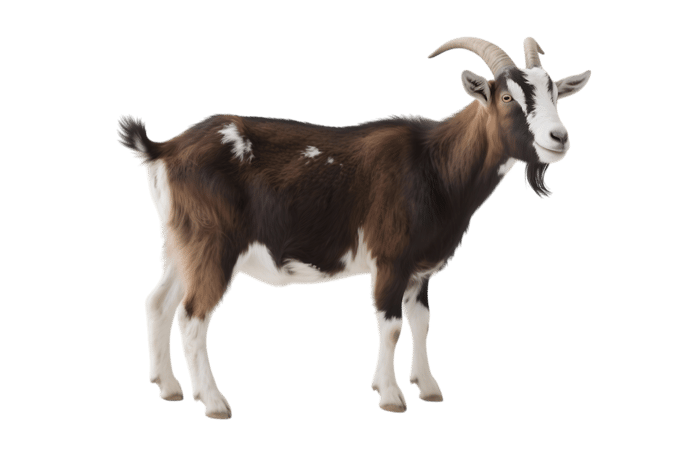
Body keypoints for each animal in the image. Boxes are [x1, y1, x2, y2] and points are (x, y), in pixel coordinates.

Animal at [117, 36, 591, 420]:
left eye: (555, 92)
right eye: (507, 97)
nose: (559, 137)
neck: (433, 164)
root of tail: (164, 149)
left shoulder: (419, 269)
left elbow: (422, 321)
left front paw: (428, 388)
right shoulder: (390, 258)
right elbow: (392, 324)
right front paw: (391, 396)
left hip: (179, 245)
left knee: (157, 302)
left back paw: (169, 388)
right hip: (213, 245)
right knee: (192, 315)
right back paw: (213, 401)